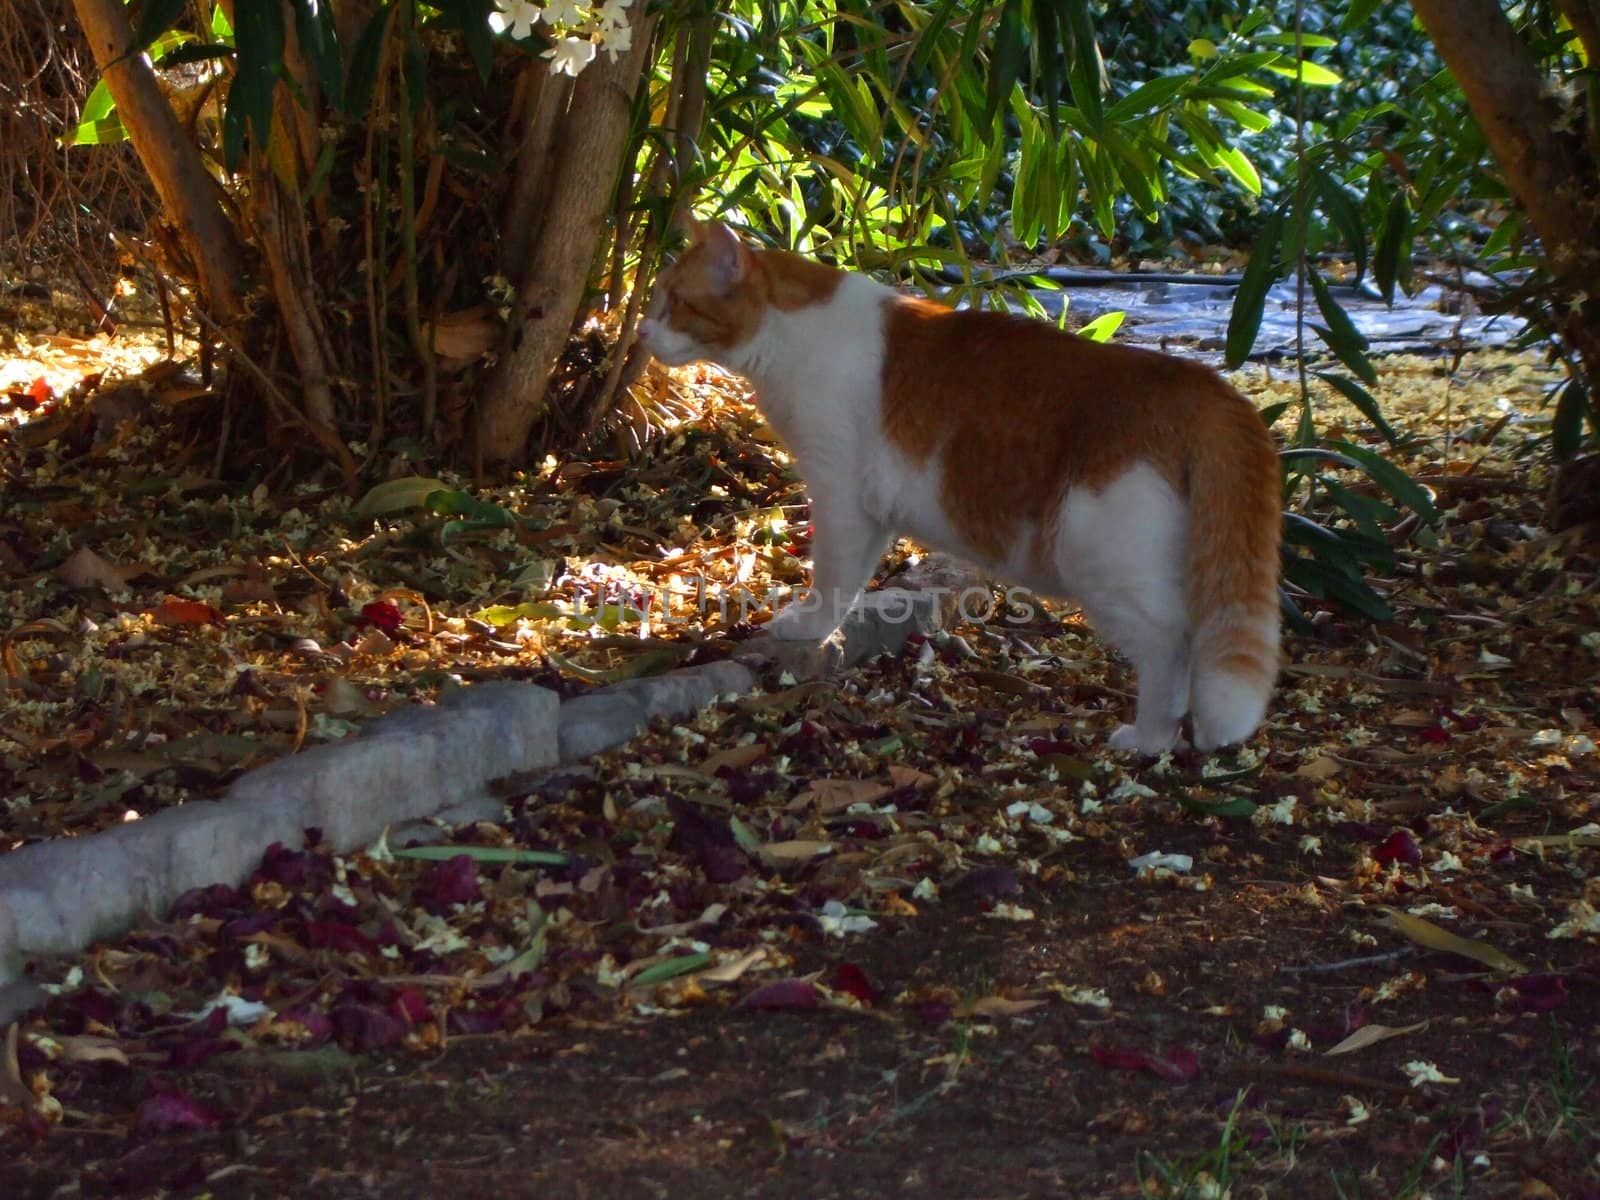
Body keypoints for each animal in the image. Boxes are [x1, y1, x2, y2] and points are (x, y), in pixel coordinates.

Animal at [643, 220, 1280, 752]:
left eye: (675, 303)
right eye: (656, 301)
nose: (644, 330)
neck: (791, 333)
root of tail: (1200, 382)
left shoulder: (841, 495)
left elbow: (831, 581)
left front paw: (808, 628)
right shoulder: (871, 510)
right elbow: (852, 580)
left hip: (1099, 557)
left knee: (1172, 643)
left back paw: (1149, 738)